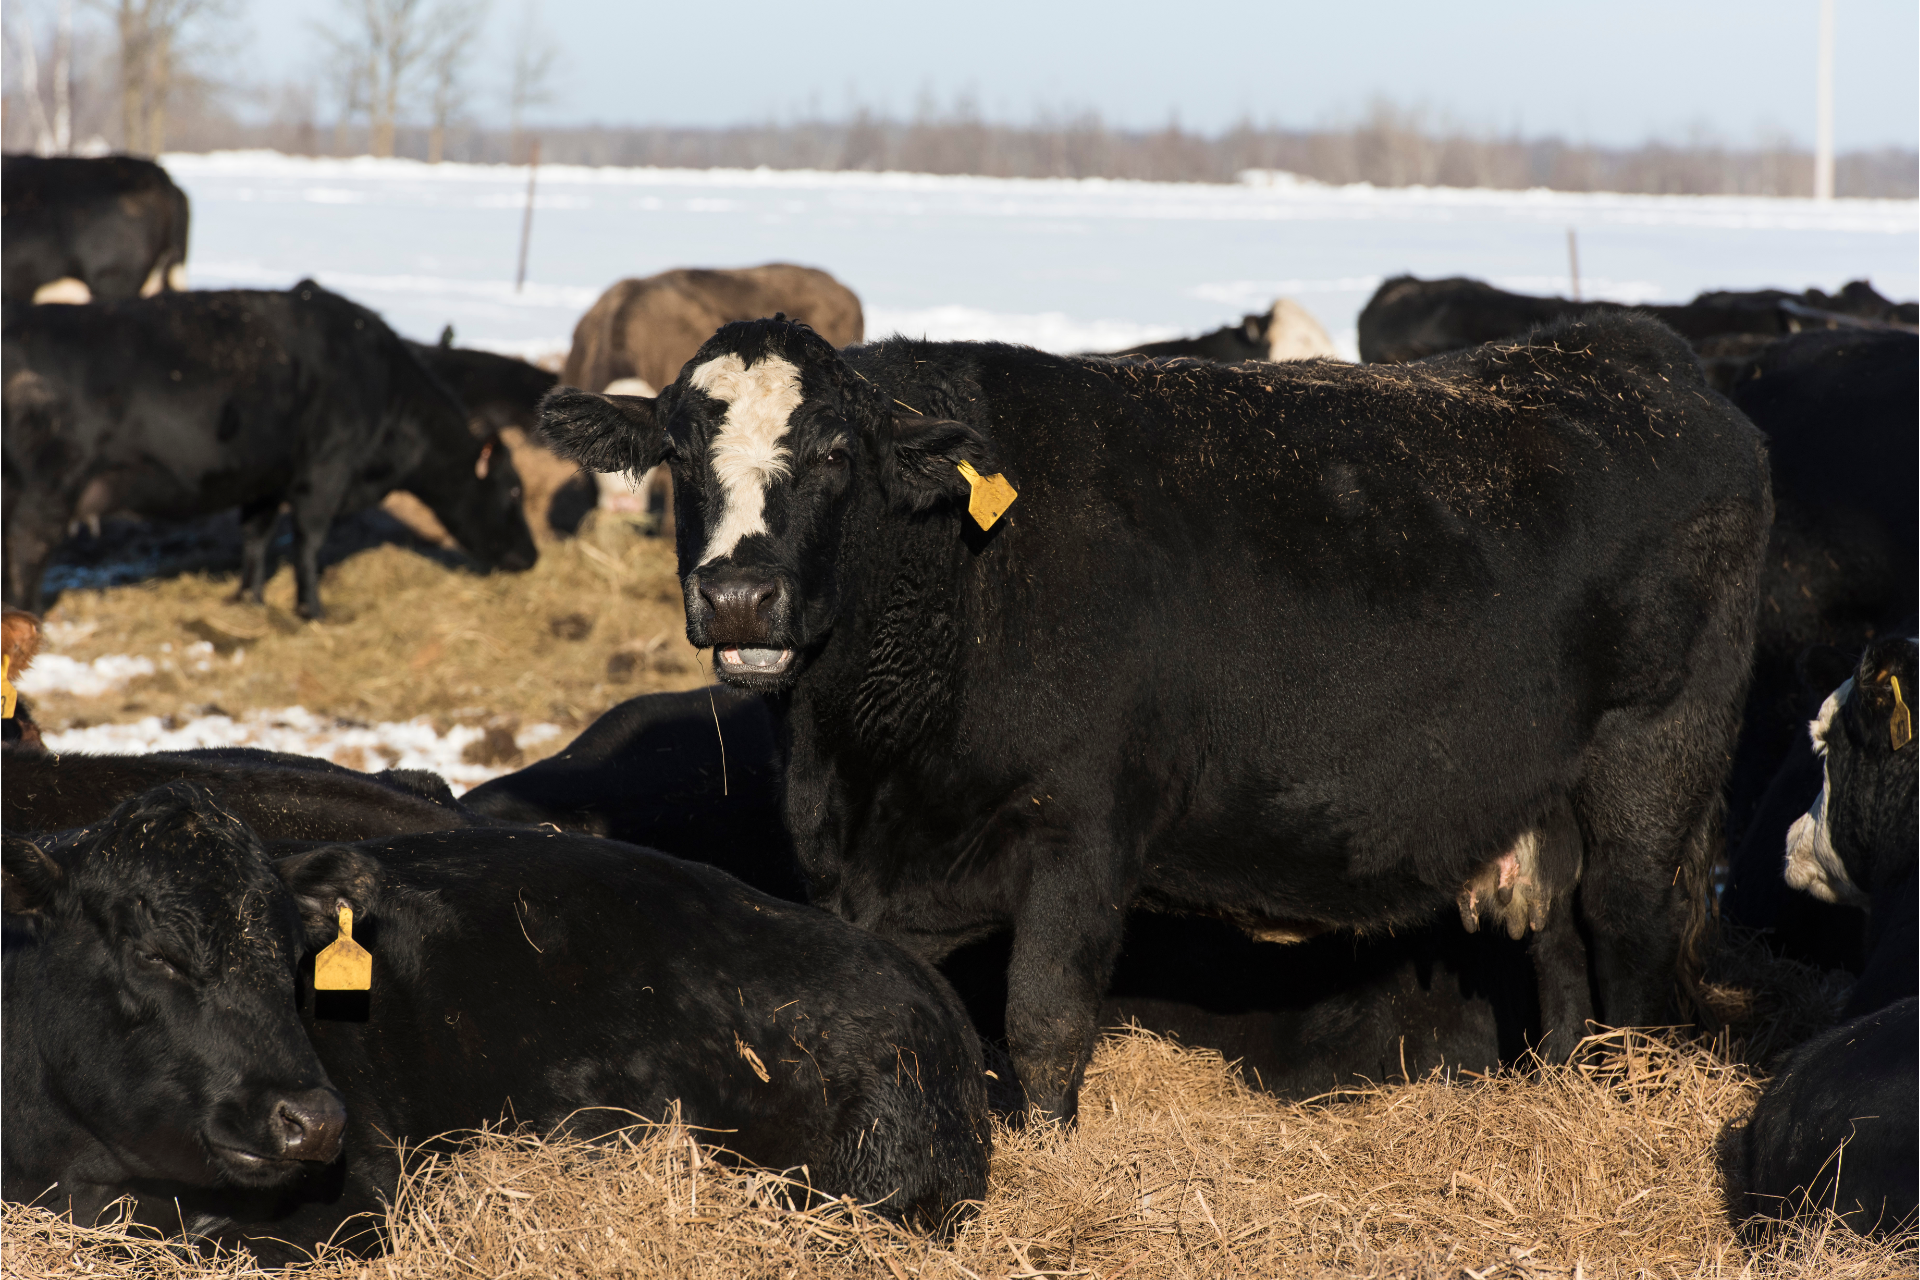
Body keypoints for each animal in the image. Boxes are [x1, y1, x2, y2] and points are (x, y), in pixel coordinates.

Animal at [2, 281, 539, 617]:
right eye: (514, 491)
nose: (533, 556)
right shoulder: (326, 469)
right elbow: (308, 541)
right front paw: (312, 609)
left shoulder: (262, 474)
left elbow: (256, 536)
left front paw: (249, 598)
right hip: (43, 497)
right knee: (25, 564)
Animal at [536, 310, 1771, 1122]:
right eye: (680, 452)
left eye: (838, 451)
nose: (739, 594)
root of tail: (1642, 358)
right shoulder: (868, 871)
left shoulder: (1086, 830)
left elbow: (1043, 1026)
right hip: (1541, 799)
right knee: (1563, 965)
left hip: (1652, 770)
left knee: (1629, 946)